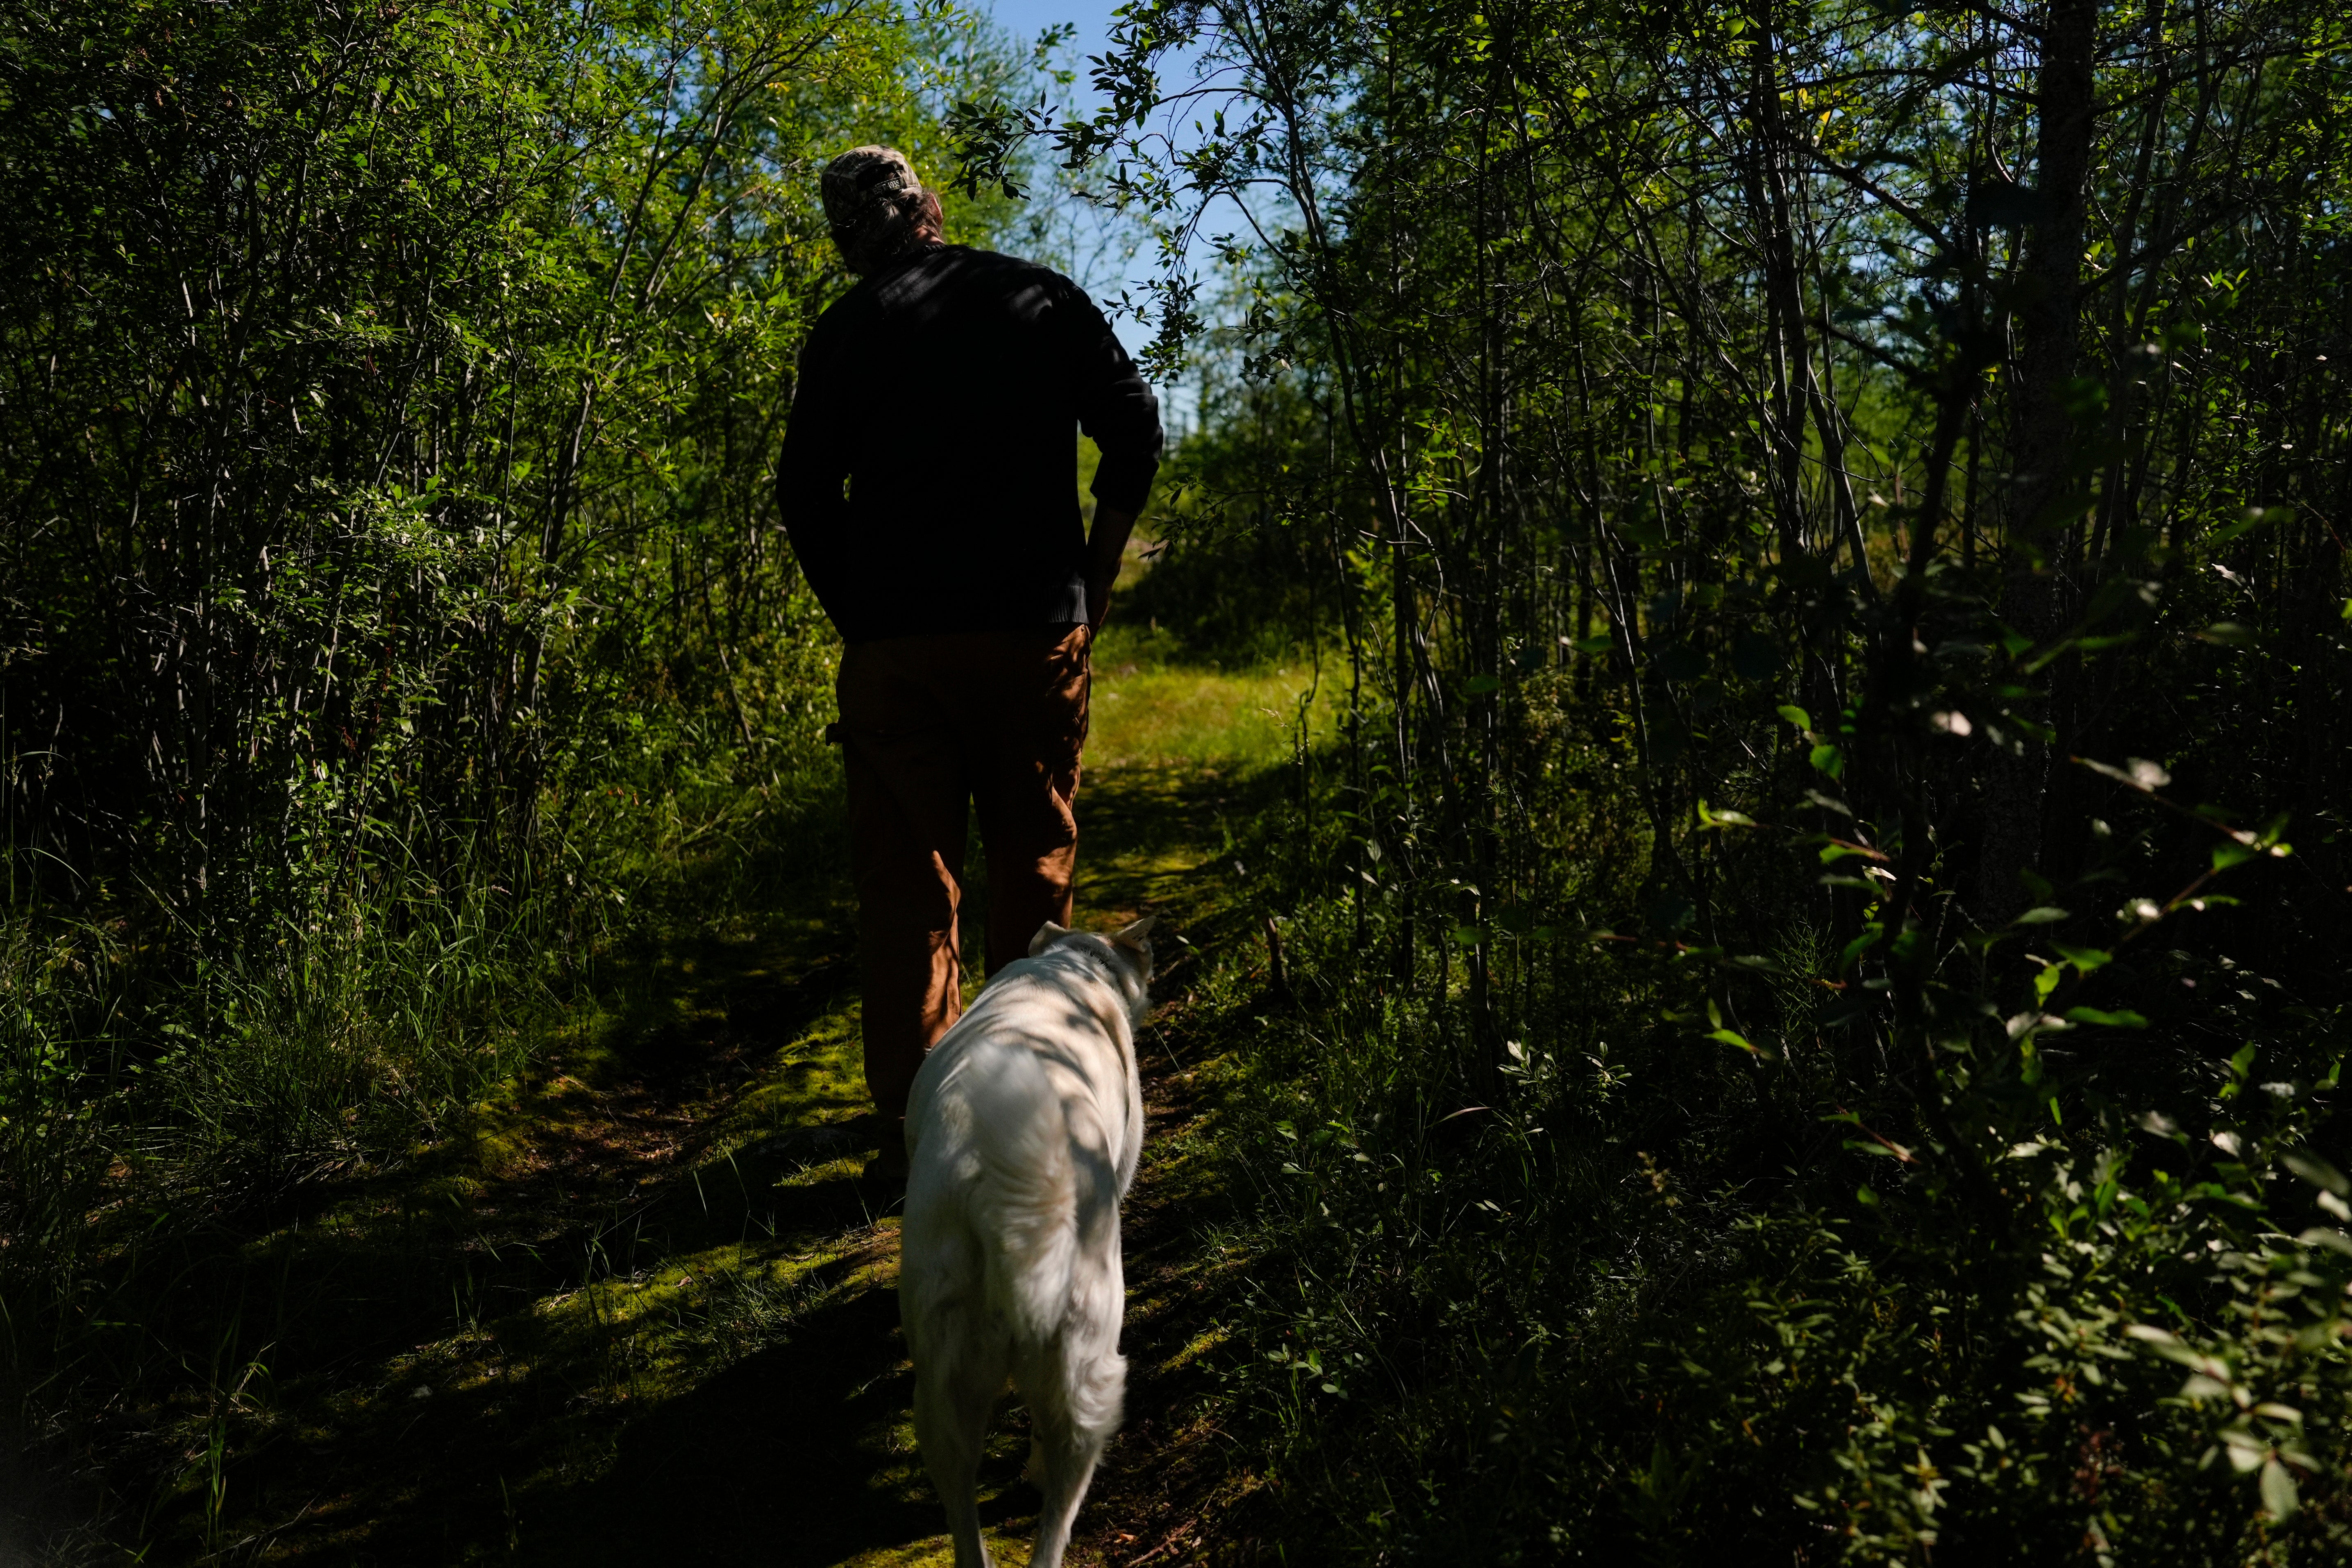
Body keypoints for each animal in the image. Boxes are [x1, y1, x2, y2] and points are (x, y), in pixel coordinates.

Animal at [898, 912, 1157, 1568]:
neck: (1070, 964)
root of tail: (1001, 1200)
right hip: (1089, 1354)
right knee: (1059, 1498)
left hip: (944, 1381)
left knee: (963, 1512)